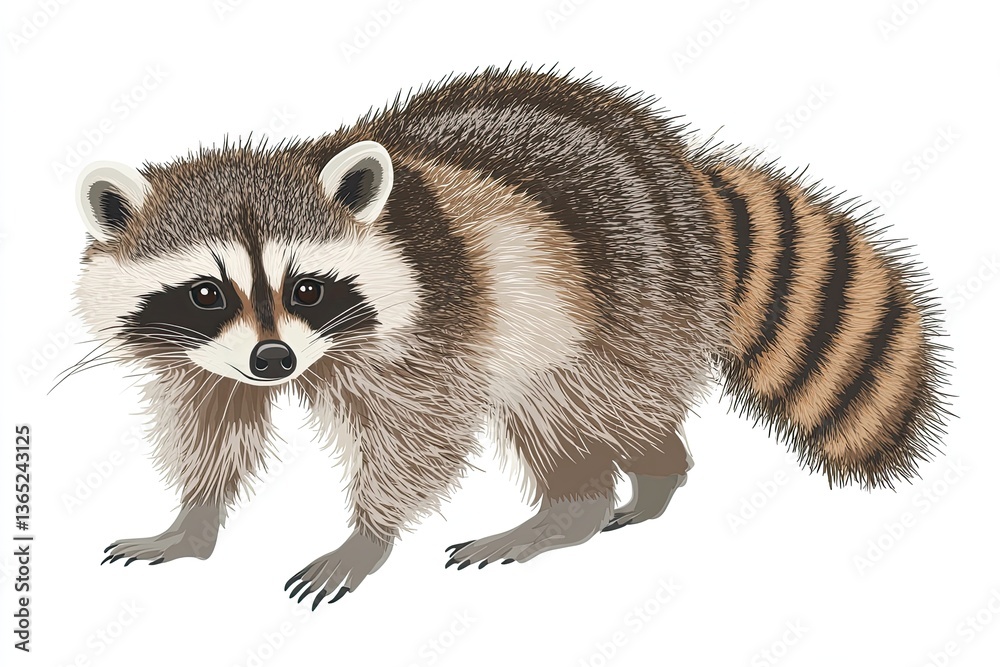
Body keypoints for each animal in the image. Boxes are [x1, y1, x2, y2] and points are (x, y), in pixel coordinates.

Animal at [72, 66, 948, 609]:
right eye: (207, 291)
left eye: (308, 288)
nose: (274, 359)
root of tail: (687, 170)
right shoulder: (206, 356)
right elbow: (211, 421)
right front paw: (193, 517)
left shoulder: (434, 327)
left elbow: (417, 435)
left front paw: (369, 535)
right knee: (608, 411)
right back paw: (651, 473)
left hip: (631, 295)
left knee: (569, 405)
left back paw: (580, 506)